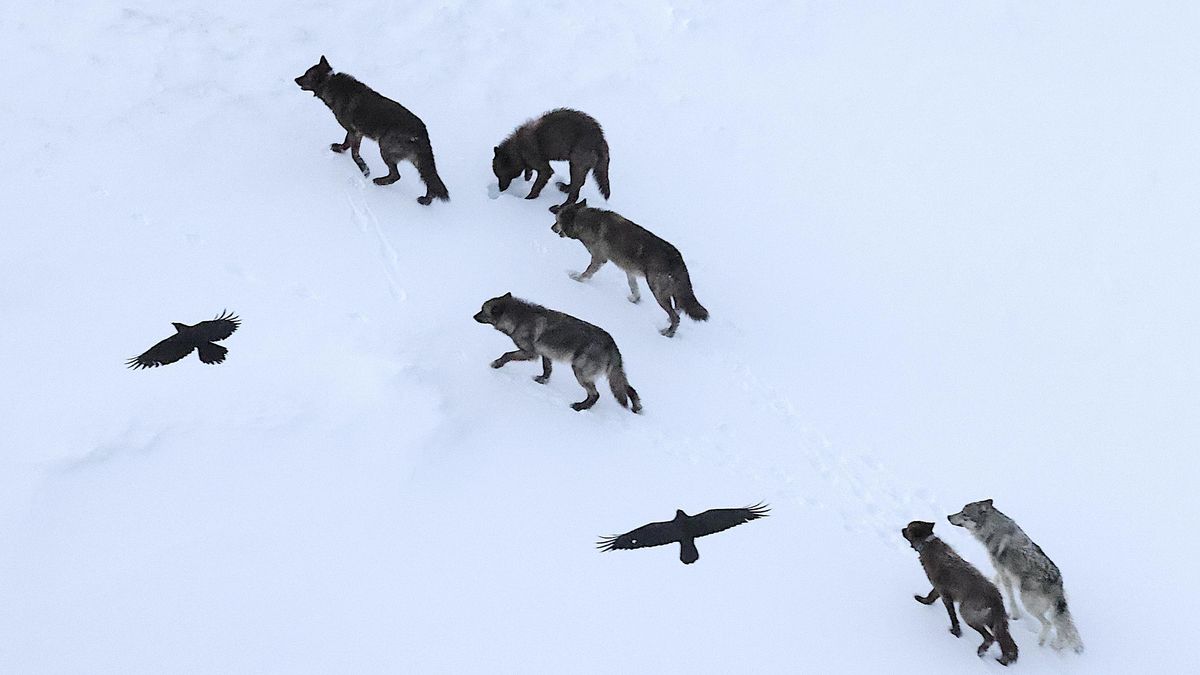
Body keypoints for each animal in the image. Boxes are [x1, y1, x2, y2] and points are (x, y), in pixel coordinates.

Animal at [294, 56, 449, 205]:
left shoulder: (355, 132)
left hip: (385, 148)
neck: (330, 83)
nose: (295, 79)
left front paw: (364, 170)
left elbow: (354, 154)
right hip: (418, 163)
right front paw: (339, 149)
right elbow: (347, 143)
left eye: (306, 75)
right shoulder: (355, 132)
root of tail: (422, 132)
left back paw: (379, 181)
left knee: (396, 175)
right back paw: (426, 201)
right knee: (430, 183)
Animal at [473, 293, 641, 413]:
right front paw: (542, 381)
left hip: (579, 372)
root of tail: (611, 343)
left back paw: (579, 407)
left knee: (595, 394)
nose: (473, 316)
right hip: (612, 376)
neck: (518, 318)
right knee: (630, 389)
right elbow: (547, 369)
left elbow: (507, 355)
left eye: (482, 310)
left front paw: (496, 364)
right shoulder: (545, 354)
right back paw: (636, 408)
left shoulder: (530, 353)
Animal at [552, 200, 708, 337]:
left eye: (557, 220)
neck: (584, 221)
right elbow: (633, 287)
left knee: (676, 316)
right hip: (671, 291)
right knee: (679, 307)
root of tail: (677, 258)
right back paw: (668, 322)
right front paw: (635, 300)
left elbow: (587, 273)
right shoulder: (629, 270)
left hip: (657, 290)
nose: (551, 228)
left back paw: (668, 333)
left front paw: (576, 278)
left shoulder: (599, 258)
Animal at [902, 520, 1018, 666]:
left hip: (967, 613)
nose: (901, 529)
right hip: (992, 621)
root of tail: (996, 598)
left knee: (990, 637)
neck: (927, 544)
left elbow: (953, 617)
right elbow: (930, 597)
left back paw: (981, 651)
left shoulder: (945, 595)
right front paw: (923, 601)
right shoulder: (938, 590)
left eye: (908, 528)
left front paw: (955, 633)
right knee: (1006, 642)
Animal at [948, 499, 1084, 653]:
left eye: (964, 514)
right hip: (1053, 608)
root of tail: (1056, 580)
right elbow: (996, 580)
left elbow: (1010, 596)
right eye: (961, 511)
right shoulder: (1001, 571)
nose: (948, 516)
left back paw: (1042, 642)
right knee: (1063, 627)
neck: (992, 529)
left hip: (1028, 603)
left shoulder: (1004, 574)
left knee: (1050, 624)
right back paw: (1060, 646)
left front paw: (1015, 614)